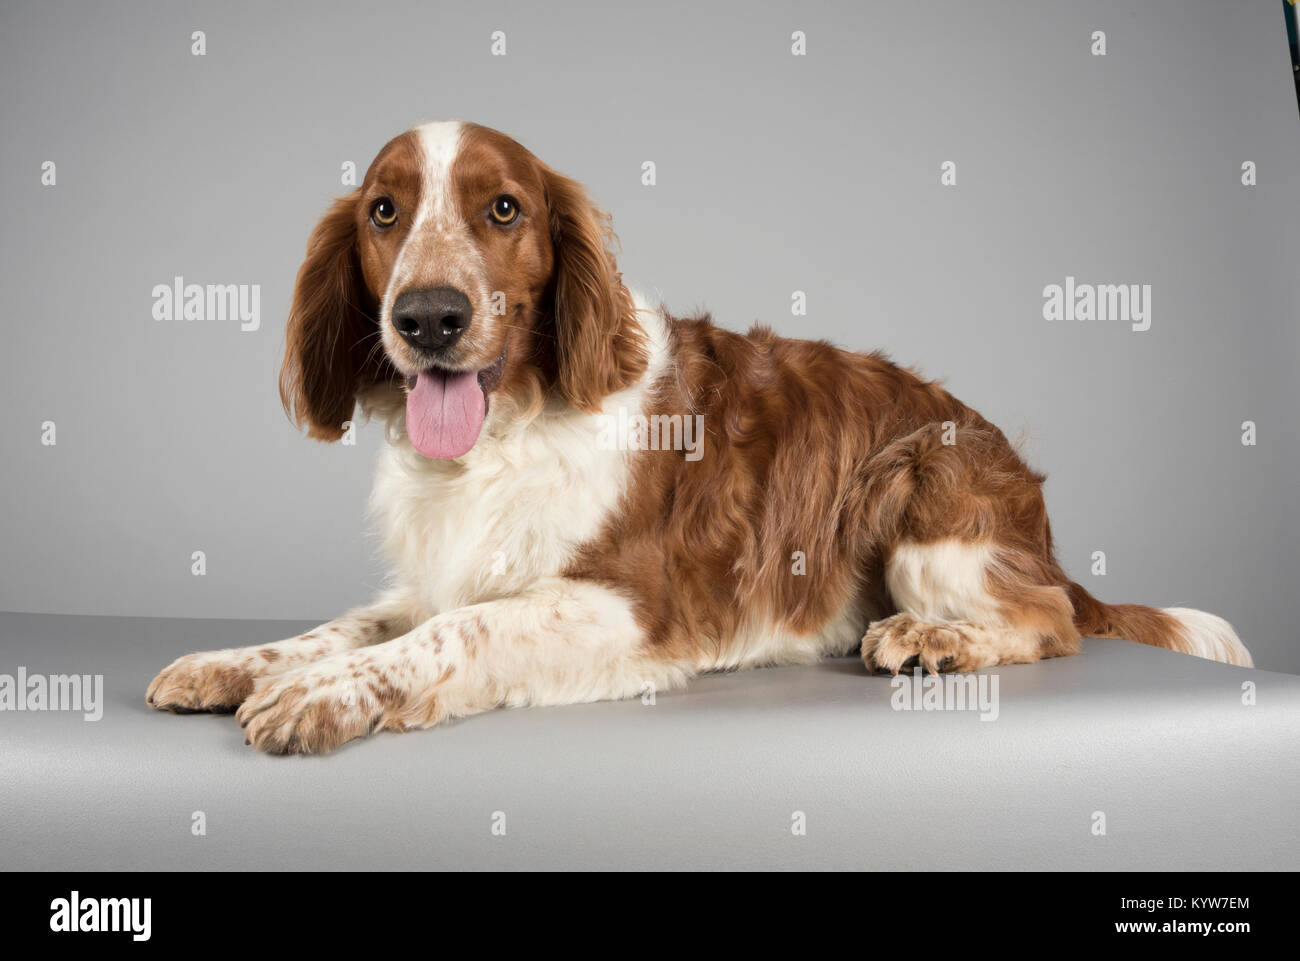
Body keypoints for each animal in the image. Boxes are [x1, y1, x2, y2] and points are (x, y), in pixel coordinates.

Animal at [142, 120, 1248, 754]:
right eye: (383, 211)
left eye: (503, 208)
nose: (428, 317)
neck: (509, 428)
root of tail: (1039, 522)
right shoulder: (439, 572)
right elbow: (356, 623)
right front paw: (246, 661)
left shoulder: (629, 607)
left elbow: (455, 632)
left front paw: (318, 696)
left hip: (921, 488)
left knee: (1051, 622)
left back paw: (930, 638)